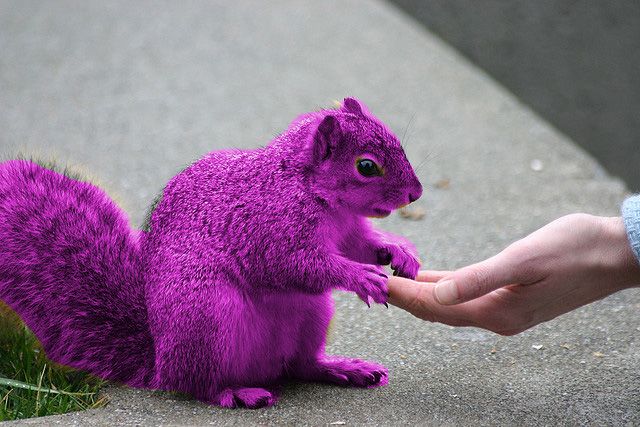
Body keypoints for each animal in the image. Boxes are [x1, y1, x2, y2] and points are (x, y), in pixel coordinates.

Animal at [0, 98, 422, 410]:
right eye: (366, 166)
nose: (415, 193)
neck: (309, 189)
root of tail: (160, 362)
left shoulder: (348, 231)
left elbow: (359, 246)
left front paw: (399, 251)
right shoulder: (269, 231)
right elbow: (296, 265)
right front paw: (360, 276)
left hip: (312, 315)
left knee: (301, 365)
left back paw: (340, 369)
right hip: (207, 319)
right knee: (198, 385)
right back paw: (234, 392)